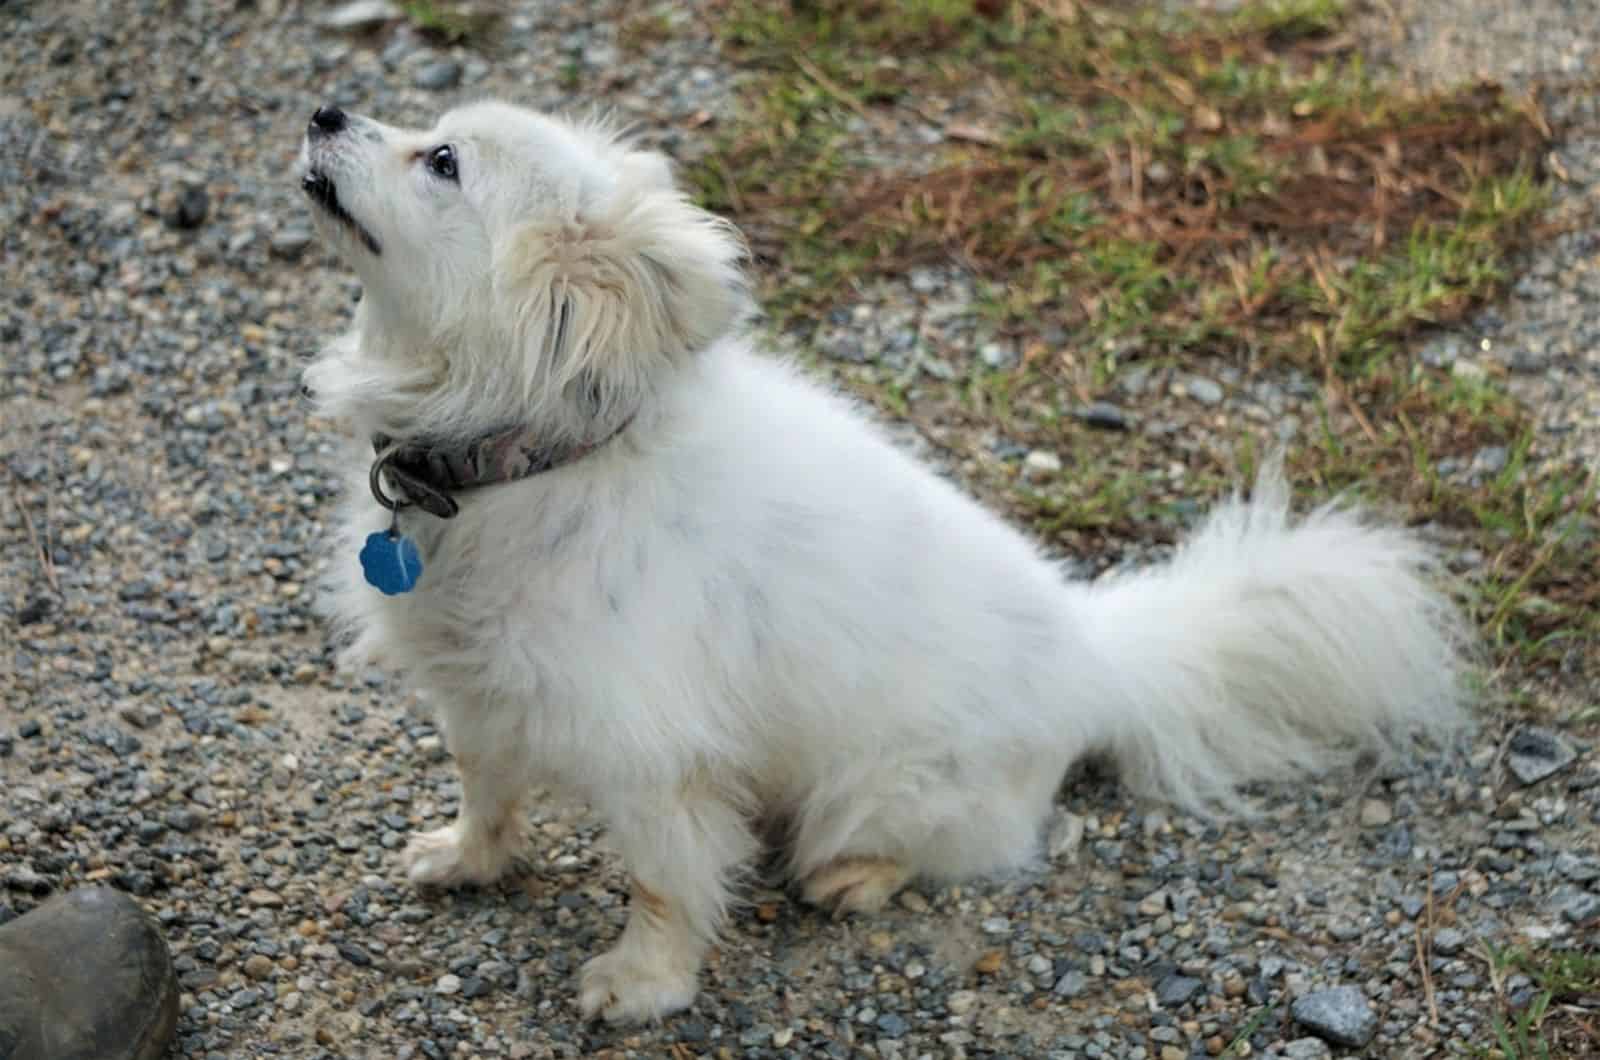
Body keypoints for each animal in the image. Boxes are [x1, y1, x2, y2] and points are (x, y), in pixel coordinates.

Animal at [294, 104, 1465, 1024]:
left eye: (442, 162)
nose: (324, 109)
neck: (522, 462)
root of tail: (1102, 656)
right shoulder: (480, 689)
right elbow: (487, 788)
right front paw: (466, 860)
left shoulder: (654, 759)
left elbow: (664, 884)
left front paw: (643, 985)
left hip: (873, 791)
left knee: (956, 845)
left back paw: (853, 877)